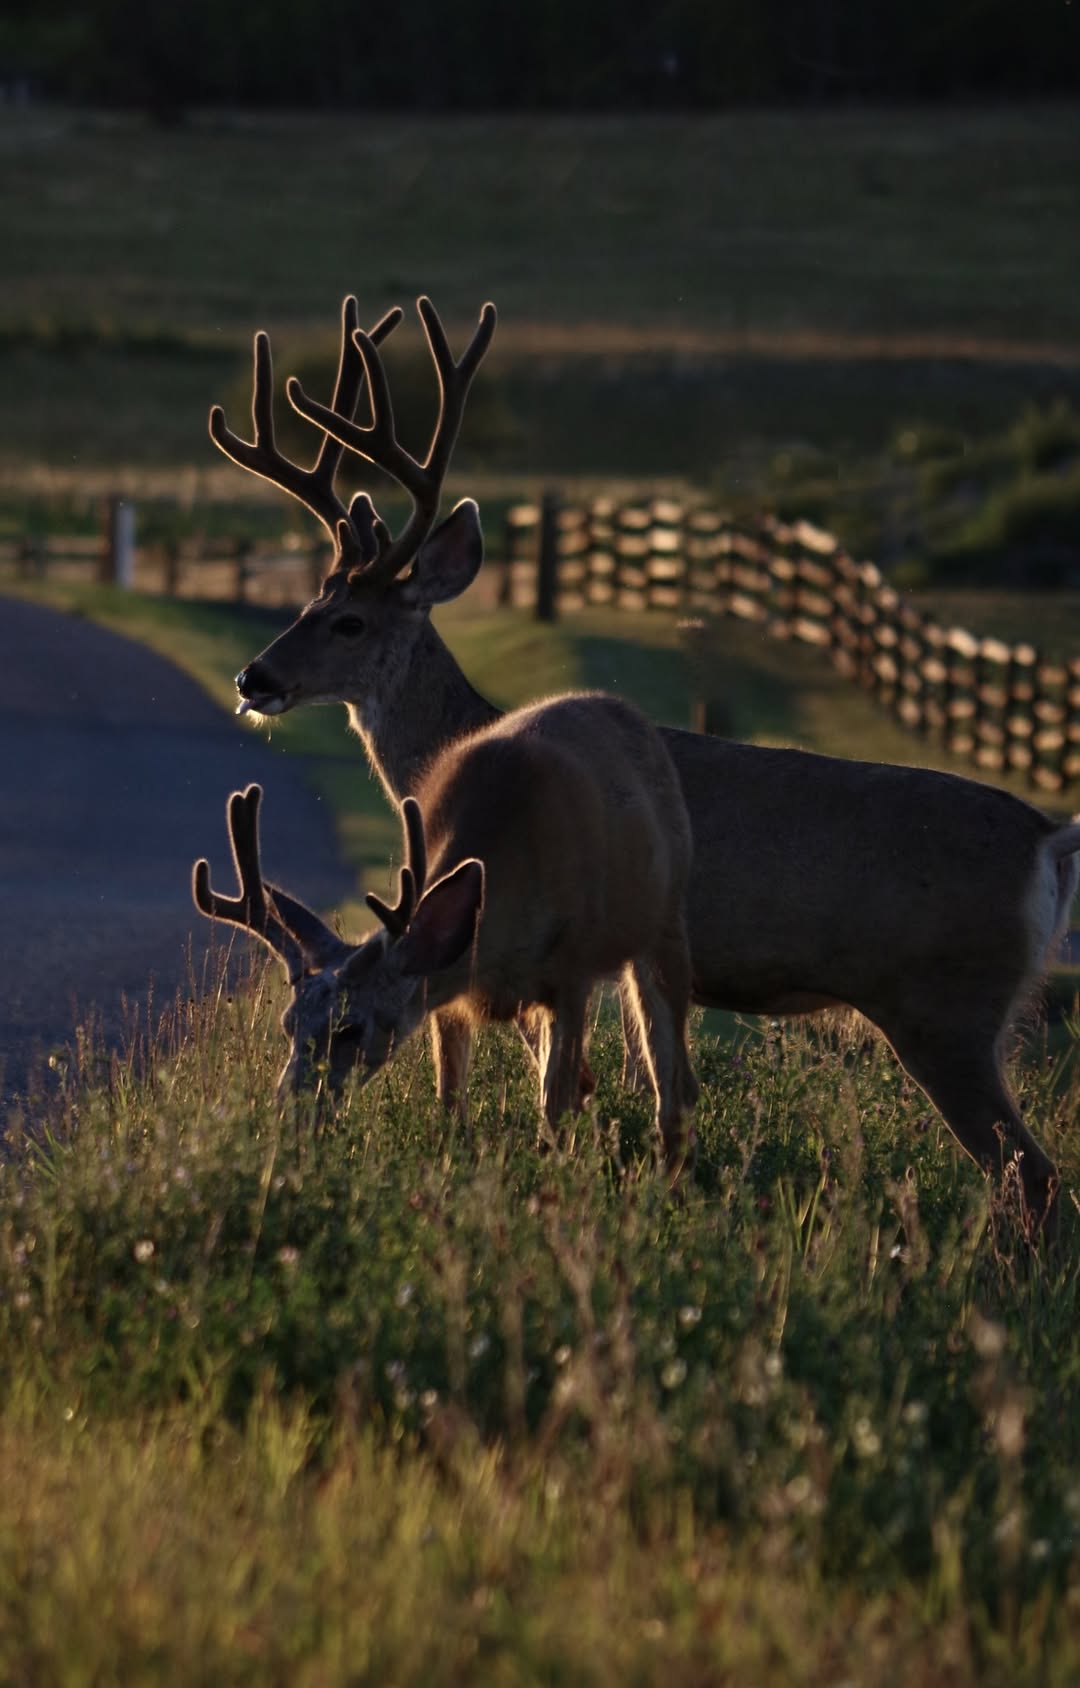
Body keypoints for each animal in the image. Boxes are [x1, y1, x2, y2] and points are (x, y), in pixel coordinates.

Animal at [191, 692, 699, 1169]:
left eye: (350, 1029)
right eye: (288, 1024)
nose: (288, 1115)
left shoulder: (572, 972)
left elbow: (555, 1107)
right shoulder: (445, 995)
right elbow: (451, 1104)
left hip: (665, 926)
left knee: (672, 1089)